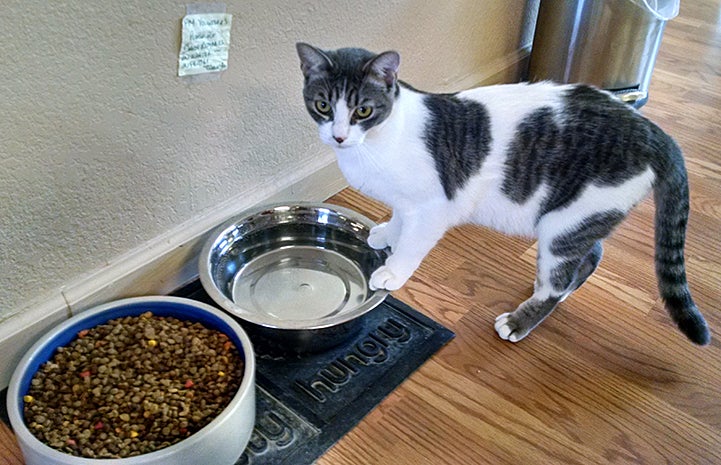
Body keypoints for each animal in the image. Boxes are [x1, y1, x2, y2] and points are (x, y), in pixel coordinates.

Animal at [294, 41, 708, 342]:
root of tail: (654, 132)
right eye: (323, 105)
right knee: (592, 255)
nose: (339, 136)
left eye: (363, 110)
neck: (377, 141)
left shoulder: (433, 206)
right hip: (577, 219)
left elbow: (413, 242)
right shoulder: (406, 202)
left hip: (566, 223)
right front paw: (386, 233)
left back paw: (521, 321)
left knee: (558, 279)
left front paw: (394, 271)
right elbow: (398, 216)